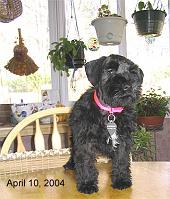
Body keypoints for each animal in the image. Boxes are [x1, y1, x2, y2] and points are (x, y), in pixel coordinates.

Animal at [63, 53, 143, 194]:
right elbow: (85, 161)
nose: (128, 86)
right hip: (73, 140)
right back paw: (70, 164)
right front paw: (87, 184)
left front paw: (121, 180)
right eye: (110, 70)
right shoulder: (84, 141)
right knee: (73, 152)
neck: (110, 113)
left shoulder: (123, 140)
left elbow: (121, 160)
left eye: (132, 72)